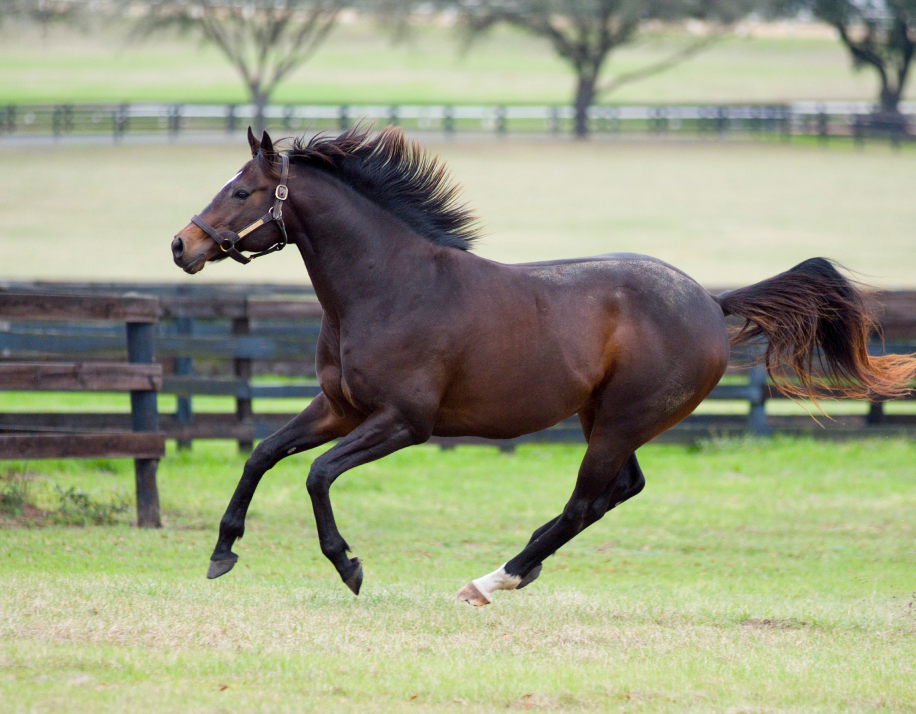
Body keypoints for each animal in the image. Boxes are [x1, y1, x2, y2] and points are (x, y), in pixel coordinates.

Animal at [172, 126, 916, 600]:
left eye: (241, 192)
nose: (182, 245)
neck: (389, 285)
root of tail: (711, 300)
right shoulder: (339, 408)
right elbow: (263, 453)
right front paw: (221, 552)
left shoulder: (403, 422)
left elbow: (318, 475)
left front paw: (348, 566)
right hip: (605, 419)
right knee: (618, 491)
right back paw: (517, 571)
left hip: (619, 422)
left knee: (587, 500)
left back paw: (492, 579)